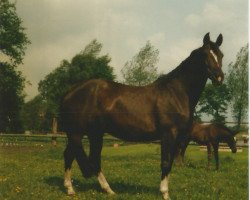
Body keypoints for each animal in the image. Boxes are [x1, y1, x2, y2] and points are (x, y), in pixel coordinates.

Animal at [59, 32, 224, 199]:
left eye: (220, 55)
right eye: (205, 55)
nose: (219, 78)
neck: (176, 92)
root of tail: (69, 92)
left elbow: (170, 162)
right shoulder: (168, 134)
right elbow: (165, 162)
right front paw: (165, 193)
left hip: (95, 133)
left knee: (92, 158)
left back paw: (108, 190)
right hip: (77, 132)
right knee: (70, 155)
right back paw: (70, 189)